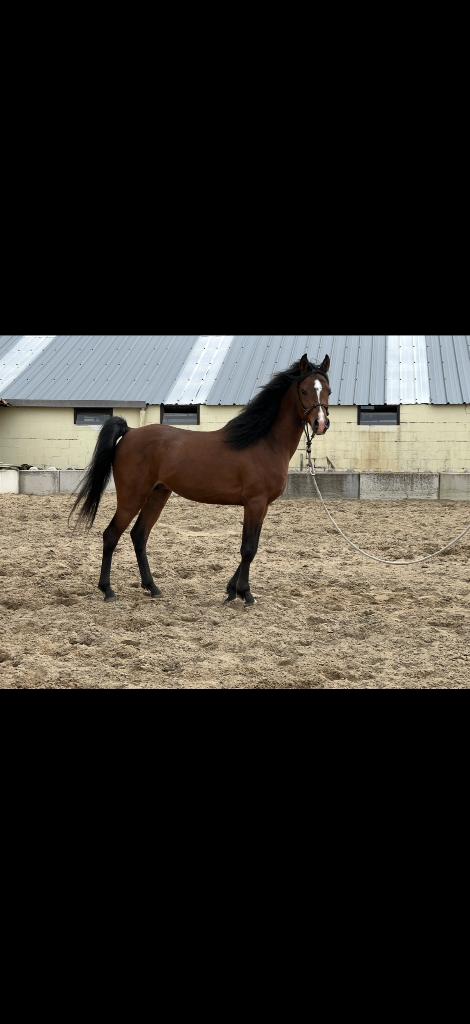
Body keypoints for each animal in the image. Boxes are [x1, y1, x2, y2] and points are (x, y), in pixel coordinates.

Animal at [70, 353, 331, 605]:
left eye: (327, 389)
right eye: (304, 390)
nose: (321, 424)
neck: (264, 443)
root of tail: (131, 432)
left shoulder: (261, 506)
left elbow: (250, 546)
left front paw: (231, 591)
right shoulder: (255, 503)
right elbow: (248, 549)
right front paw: (245, 594)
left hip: (158, 494)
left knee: (139, 535)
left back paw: (152, 588)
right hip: (132, 497)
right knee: (111, 535)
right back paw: (108, 590)